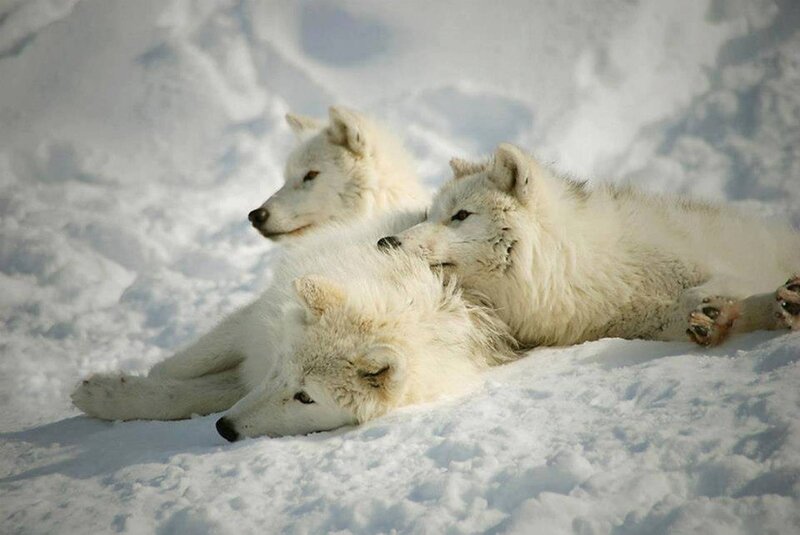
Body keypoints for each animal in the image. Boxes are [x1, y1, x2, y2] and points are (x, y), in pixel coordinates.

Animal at [71, 213, 516, 440]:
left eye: (305, 398)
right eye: (282, 369)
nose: (225, 428)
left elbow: (186, 397)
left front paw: (109, 395)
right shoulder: (257, 324)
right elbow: (185, 368)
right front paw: (115, 388)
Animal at [379, 143, 800, 347]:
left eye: (461, 215)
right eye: (428, 215)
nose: (386, 241)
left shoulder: (715, 260)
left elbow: (722, 286)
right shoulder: (652, 322)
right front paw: (719, 317)